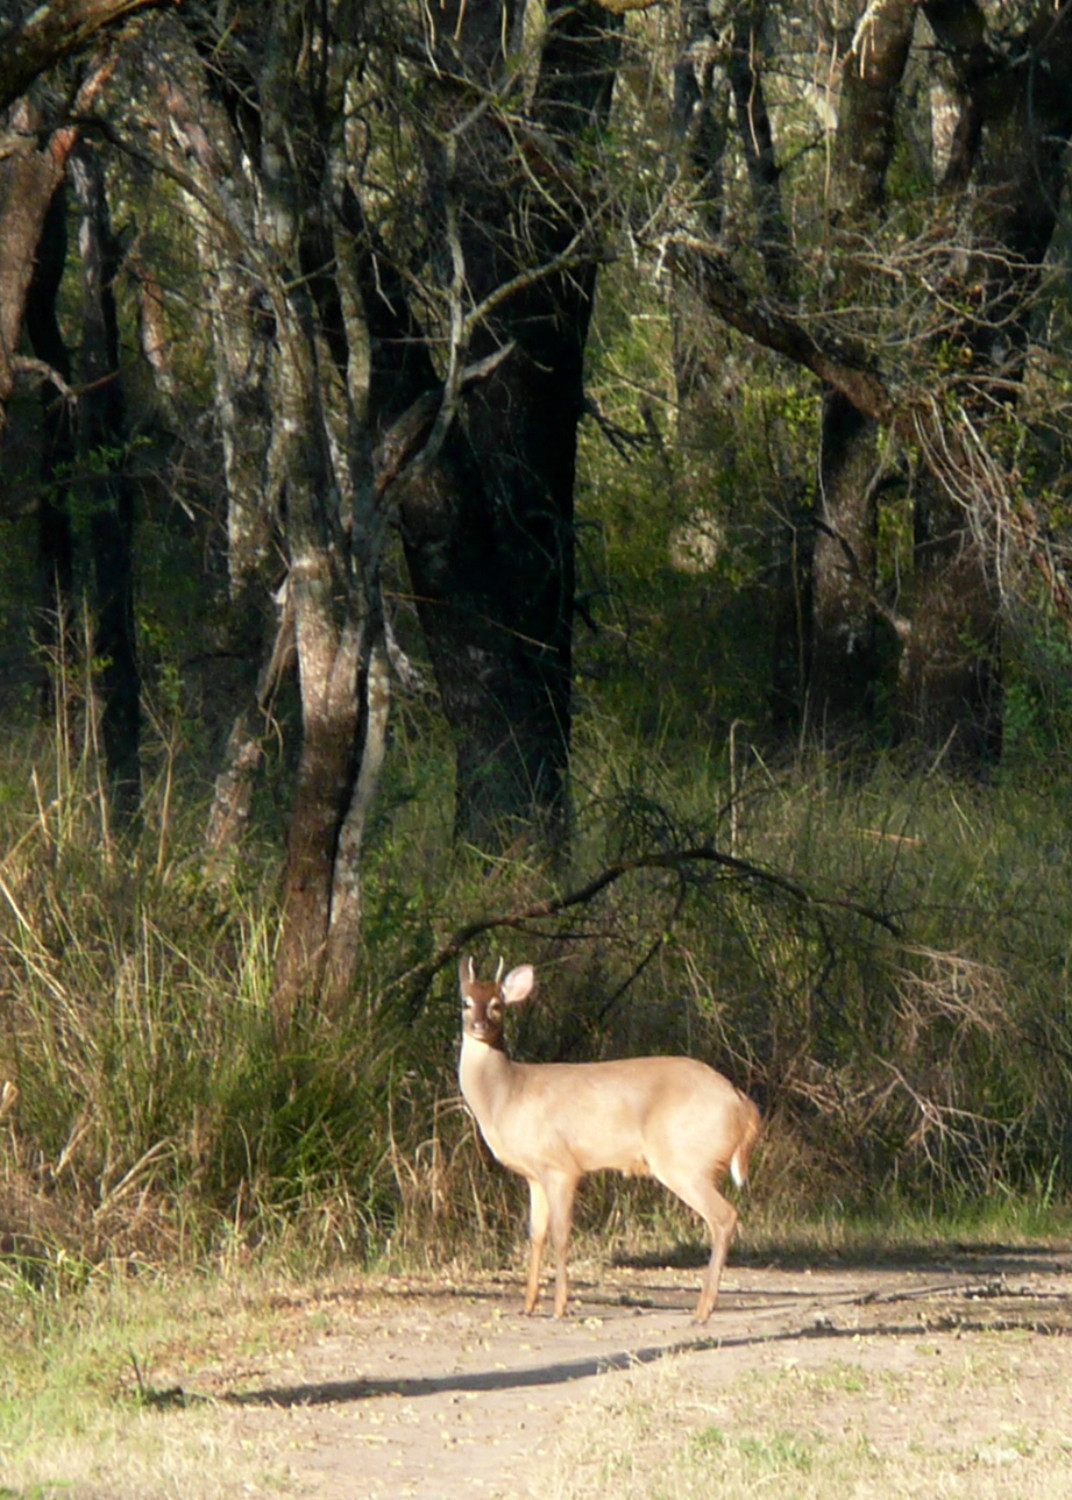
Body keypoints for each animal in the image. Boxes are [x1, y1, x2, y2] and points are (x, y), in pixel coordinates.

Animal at [455, 960, 758, 1326]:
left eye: (497, 1005)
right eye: (465, 1002)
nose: (479, 1026)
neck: (507, 1096)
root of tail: (743, 1105)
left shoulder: (561, 1165)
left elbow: (561, 1234)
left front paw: (559, 1307)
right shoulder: (534, 1175)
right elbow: (536, 1234)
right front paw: (527, 1305)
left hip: (684, 1161)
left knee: (724, 1216)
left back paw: (702, 1311)